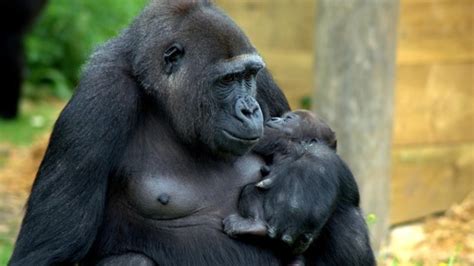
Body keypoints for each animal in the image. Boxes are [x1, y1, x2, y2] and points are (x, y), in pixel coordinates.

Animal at [10, 1, 336, 264]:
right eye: (227, 80)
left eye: (248, 76)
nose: (250, 109)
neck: (156, 94)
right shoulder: (99, 99)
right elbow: (49, 253)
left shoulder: (265, 81)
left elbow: (319, 139)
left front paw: (309, 183)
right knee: (132, 261)